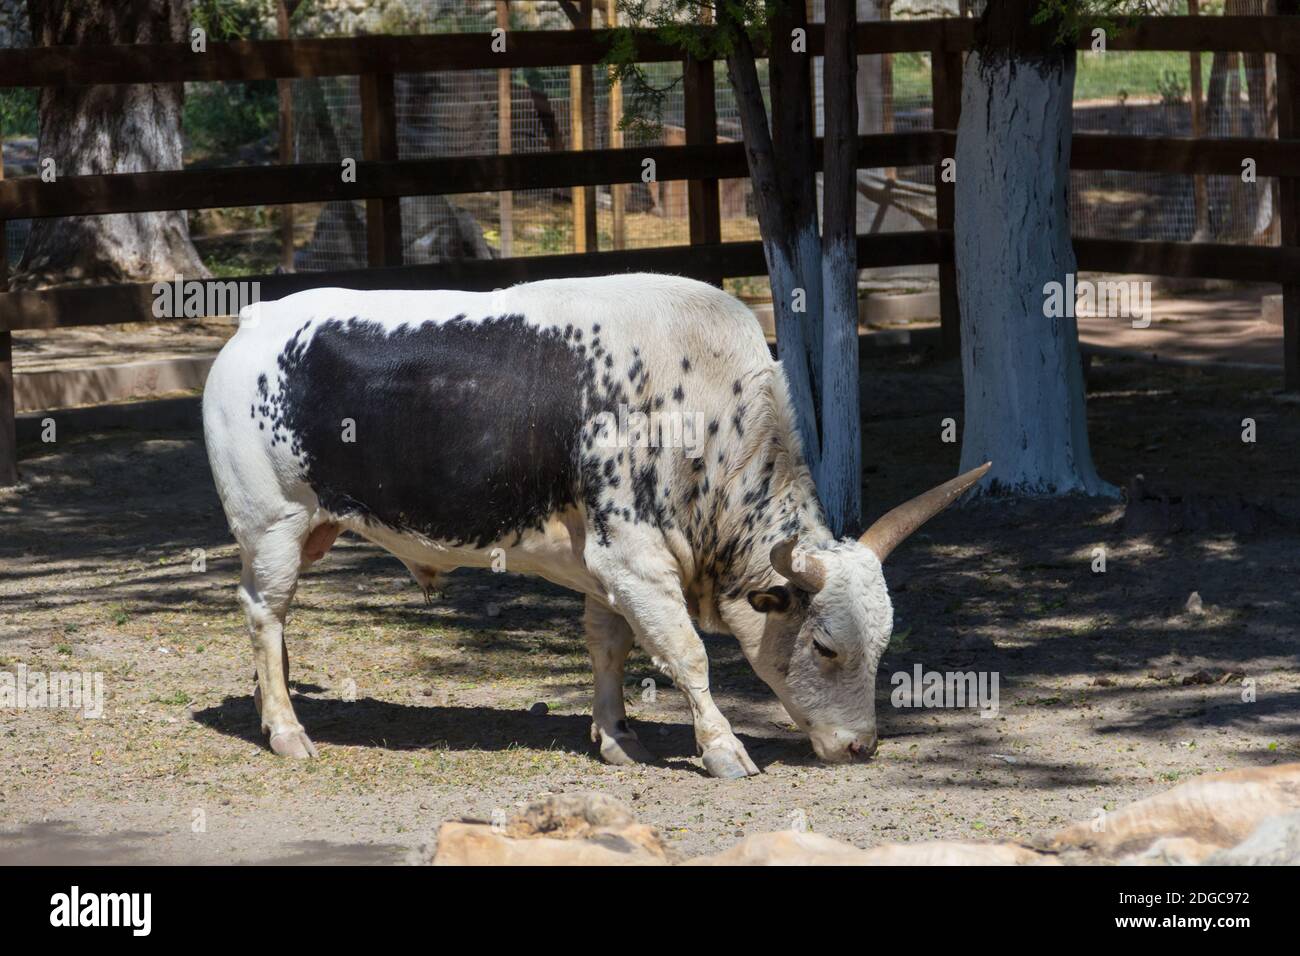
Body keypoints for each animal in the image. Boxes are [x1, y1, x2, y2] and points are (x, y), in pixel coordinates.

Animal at [202, 274, 988, 778]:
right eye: (824, 647)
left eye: (882, 643)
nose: (862, 747)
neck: (700, 409)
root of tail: (257, 319)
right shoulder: (635, 559)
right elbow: (687, 656)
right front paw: (724, 750)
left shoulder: (606, 566)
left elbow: (610, 647)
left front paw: (616, 739)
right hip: (272, 524)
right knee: (264, 613)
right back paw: (287, 730)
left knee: (272, 622)